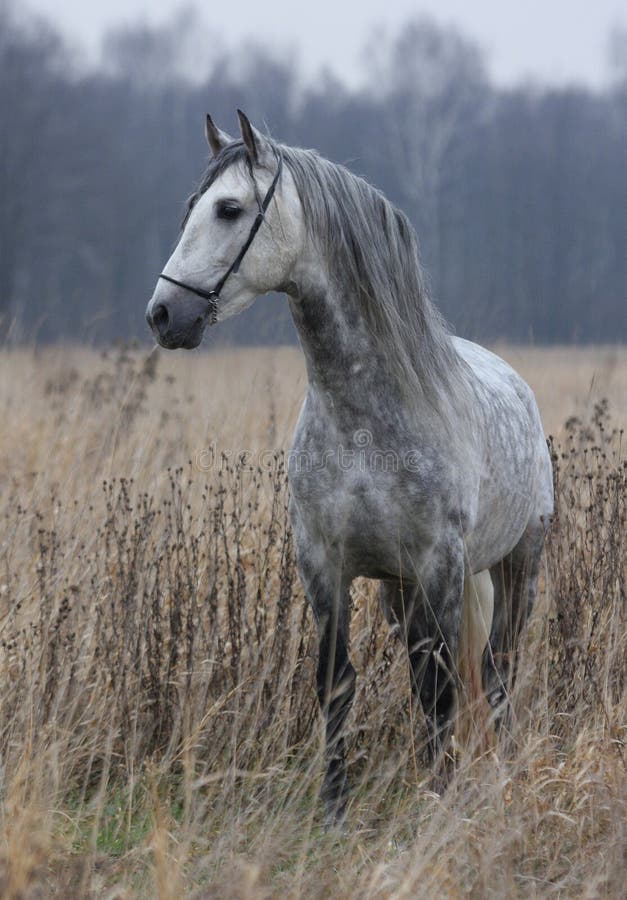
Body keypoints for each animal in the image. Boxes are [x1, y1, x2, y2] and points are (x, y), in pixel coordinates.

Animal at [145, 110, 554, 825]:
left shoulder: (440, 566)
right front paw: (334, 808)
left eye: (229, 209)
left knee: (498, 672)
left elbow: (443, 688)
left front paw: (437, 798)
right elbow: (337, 683)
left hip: (516, 566)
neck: (365, 423)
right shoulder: (325, 565)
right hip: (400, 591)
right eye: (192, 207)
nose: (165, 315)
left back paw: (501, 774)